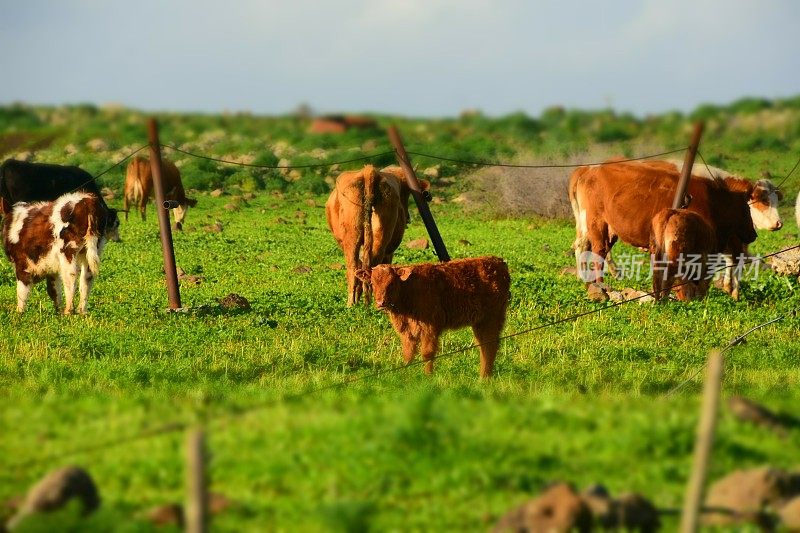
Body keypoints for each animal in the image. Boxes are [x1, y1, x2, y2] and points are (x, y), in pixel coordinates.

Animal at [324, 164, 428, 306]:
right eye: (407, 193)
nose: (407, 217)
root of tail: (369, 172)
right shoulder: (389, 252)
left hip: (356, 239)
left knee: (356, 267)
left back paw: (354, 303)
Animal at [354, 256, 510, 376]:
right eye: (372, 283)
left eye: (391, 283)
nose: (381, 302)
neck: (408, 290)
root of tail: (498, 261)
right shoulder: (406, 332)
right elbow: (408, 354)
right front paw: (404, 376)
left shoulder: (429, 328)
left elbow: (427, 354)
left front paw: (428, 377)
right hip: (480, 322)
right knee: (484, 345)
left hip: (491, 319)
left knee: (490, 346)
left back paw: (484, 378)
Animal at [568, 158, 756, 300]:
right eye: (747, 208)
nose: (754, 234)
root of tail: (589, 170)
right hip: (596, 223)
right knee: (597, 252)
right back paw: (601, 285)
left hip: (609, 229)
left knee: (590, 248)